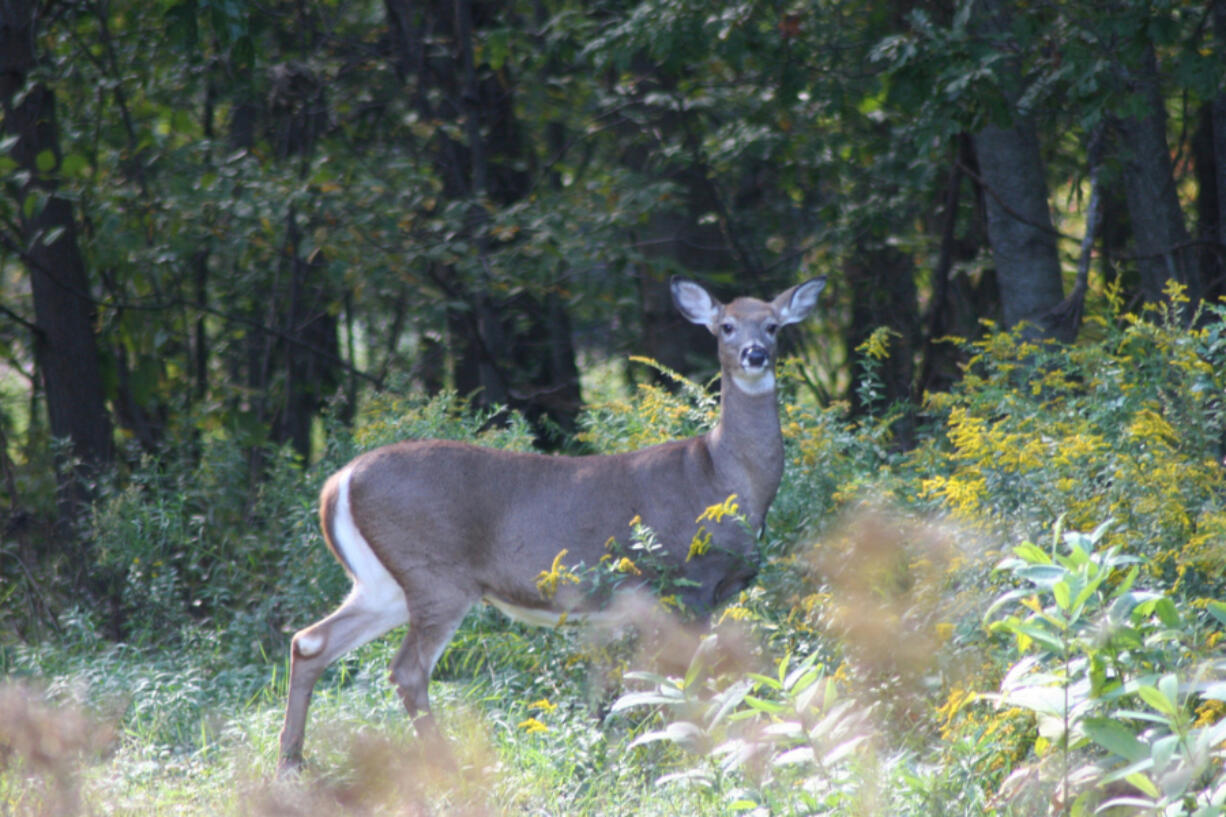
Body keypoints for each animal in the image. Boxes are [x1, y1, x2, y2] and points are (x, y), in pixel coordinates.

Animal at [280, 277, 828, 765]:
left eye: (774, 326)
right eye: (726, 326)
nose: (755, 354)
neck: (724, 475)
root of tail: (339, 483)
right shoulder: (689, 580)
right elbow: (691, 677)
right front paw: (702, 745)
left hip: (382, 583)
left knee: (310, 642)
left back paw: (292, 763)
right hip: (435, 574)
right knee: (407, 670)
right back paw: (447, 765)